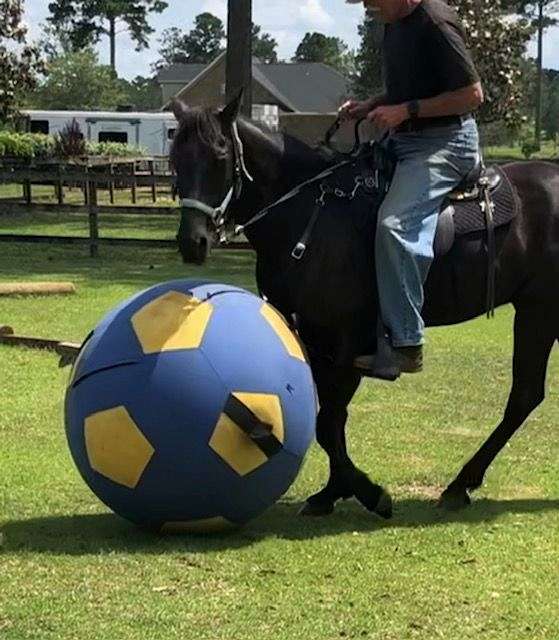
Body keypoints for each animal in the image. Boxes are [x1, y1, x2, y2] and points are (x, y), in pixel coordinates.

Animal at [171, 97, 559, 520]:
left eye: (220, 156)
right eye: (175, 159)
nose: (193, 242)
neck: (308, 213)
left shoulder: (347, 343)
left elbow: (328, 422)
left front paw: (368, 492)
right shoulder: (314, 338)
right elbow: (330, 421)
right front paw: (333, 491)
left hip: (539, 311)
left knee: (523, 396)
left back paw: (460, 484)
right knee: (526, 395)